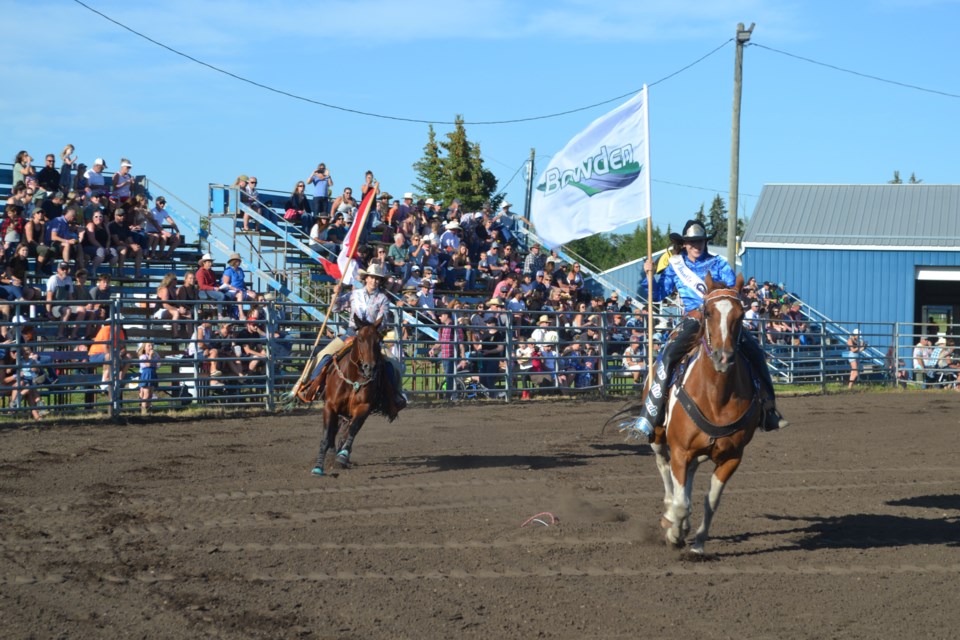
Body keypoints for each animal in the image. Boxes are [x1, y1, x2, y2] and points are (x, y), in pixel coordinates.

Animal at [308, 316, 382, 476]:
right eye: (360, 339)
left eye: (378, 340)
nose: (369, 368)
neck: (352, 379)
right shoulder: (330, 407)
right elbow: (326, 436)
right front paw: (318, 466)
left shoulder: (363, 408)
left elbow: (352, 430)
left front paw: (342, 456)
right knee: (333, 432)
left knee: (344, 432)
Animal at [648, 272, 760, 552]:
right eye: (708, 313)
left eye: (741, 314)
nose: (723, 357)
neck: (715, 397)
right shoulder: (679, 450)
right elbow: (681, 502)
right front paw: (674, 533)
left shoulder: (732, 457)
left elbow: (711, 501)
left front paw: (698, 541)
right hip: (657, 436)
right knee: (663, 467)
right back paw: (669, 516)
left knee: (689, 476)